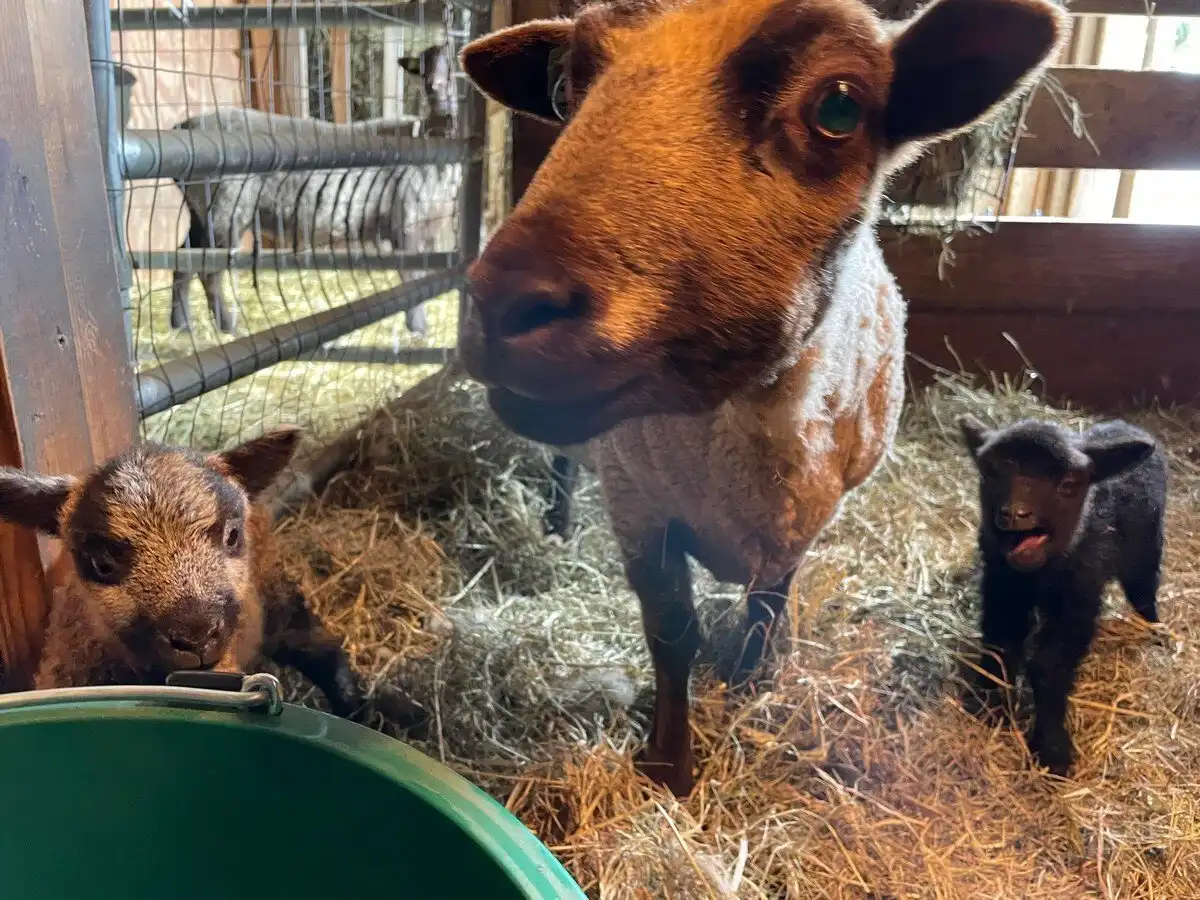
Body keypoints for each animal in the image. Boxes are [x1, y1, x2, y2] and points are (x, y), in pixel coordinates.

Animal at [0, 426, 426, 731]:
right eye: (100, 563)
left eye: (232, 535)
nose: (197, 637)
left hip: (277, 599)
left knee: (321, 647)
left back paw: (357, 711)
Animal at [170, 43, 461, 341]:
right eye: (423, 71)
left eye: (451, 67)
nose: (434, 87)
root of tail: (183, 127)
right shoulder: (405, 222)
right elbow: (412, 277)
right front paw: (419, 329)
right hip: (225, 212)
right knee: (209, 273)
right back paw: (228, 326)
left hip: (200, 214)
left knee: (182, 261)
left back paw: (181, 325)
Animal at [457, 0, 1067, 795]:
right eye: (565, 88)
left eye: (839, 107)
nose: (503, 301)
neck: (746, 419)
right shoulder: (639, 504)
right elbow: (672, 634)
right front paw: (672, 766)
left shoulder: (803, 517)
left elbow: (768, 603)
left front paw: (753, 680)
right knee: (561, 464)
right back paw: (558, 525)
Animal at [956, 415, 1167, 776]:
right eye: (989, 472)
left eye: (1069, 483)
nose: (1015, 514)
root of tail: (1125, 423)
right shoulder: (1001, 587)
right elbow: (1000, 648)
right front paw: (992, 710)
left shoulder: (1079, 599)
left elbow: (1048, 666)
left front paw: (1052, 748)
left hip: (1146, 546)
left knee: (1144, 592)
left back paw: (1157, 634)